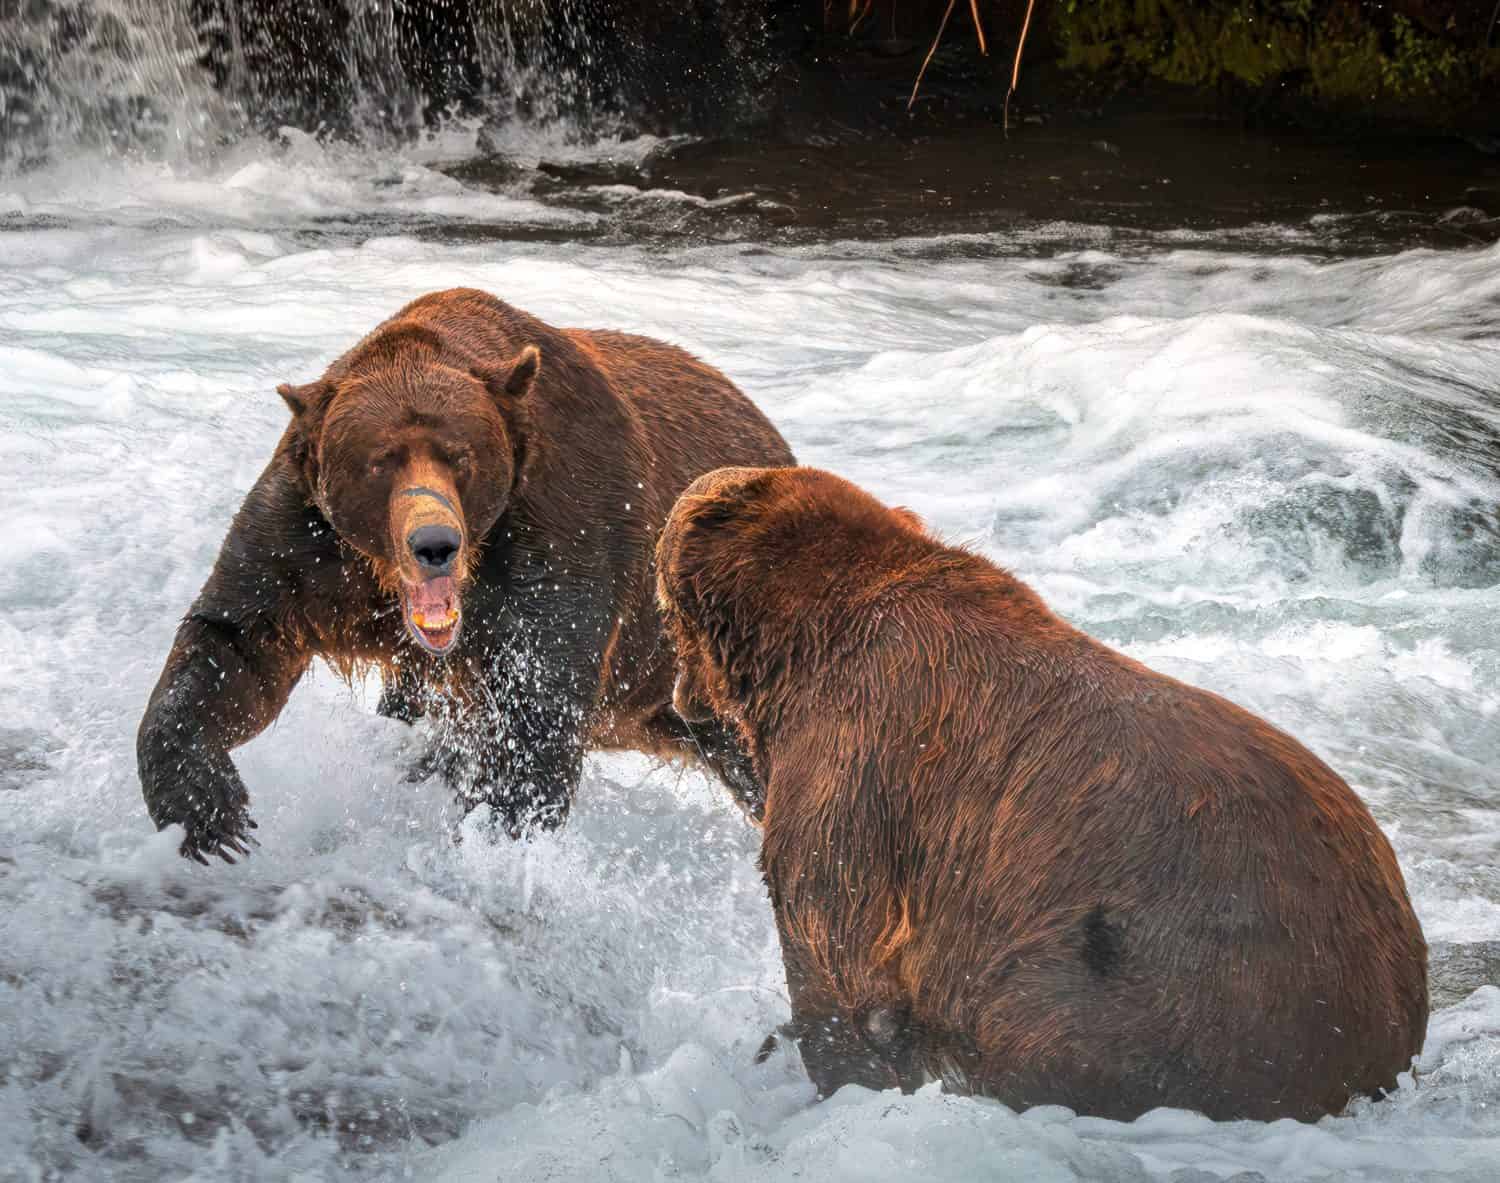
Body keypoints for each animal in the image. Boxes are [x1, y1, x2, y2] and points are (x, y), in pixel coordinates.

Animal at [137, 288, 793, 863]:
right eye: (380, 460)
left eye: (459, 455)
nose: (435, 544)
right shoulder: (311, 544)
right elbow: (237, 641)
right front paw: (212, 814)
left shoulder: (562, 528)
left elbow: (534, 716)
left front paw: (488, 832)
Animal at [655, 465, 1428, 1123]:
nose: (680, 705)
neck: (802, 643)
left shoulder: (856, 759)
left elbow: (835, 942)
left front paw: (833, 1070)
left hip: (1167, 988)